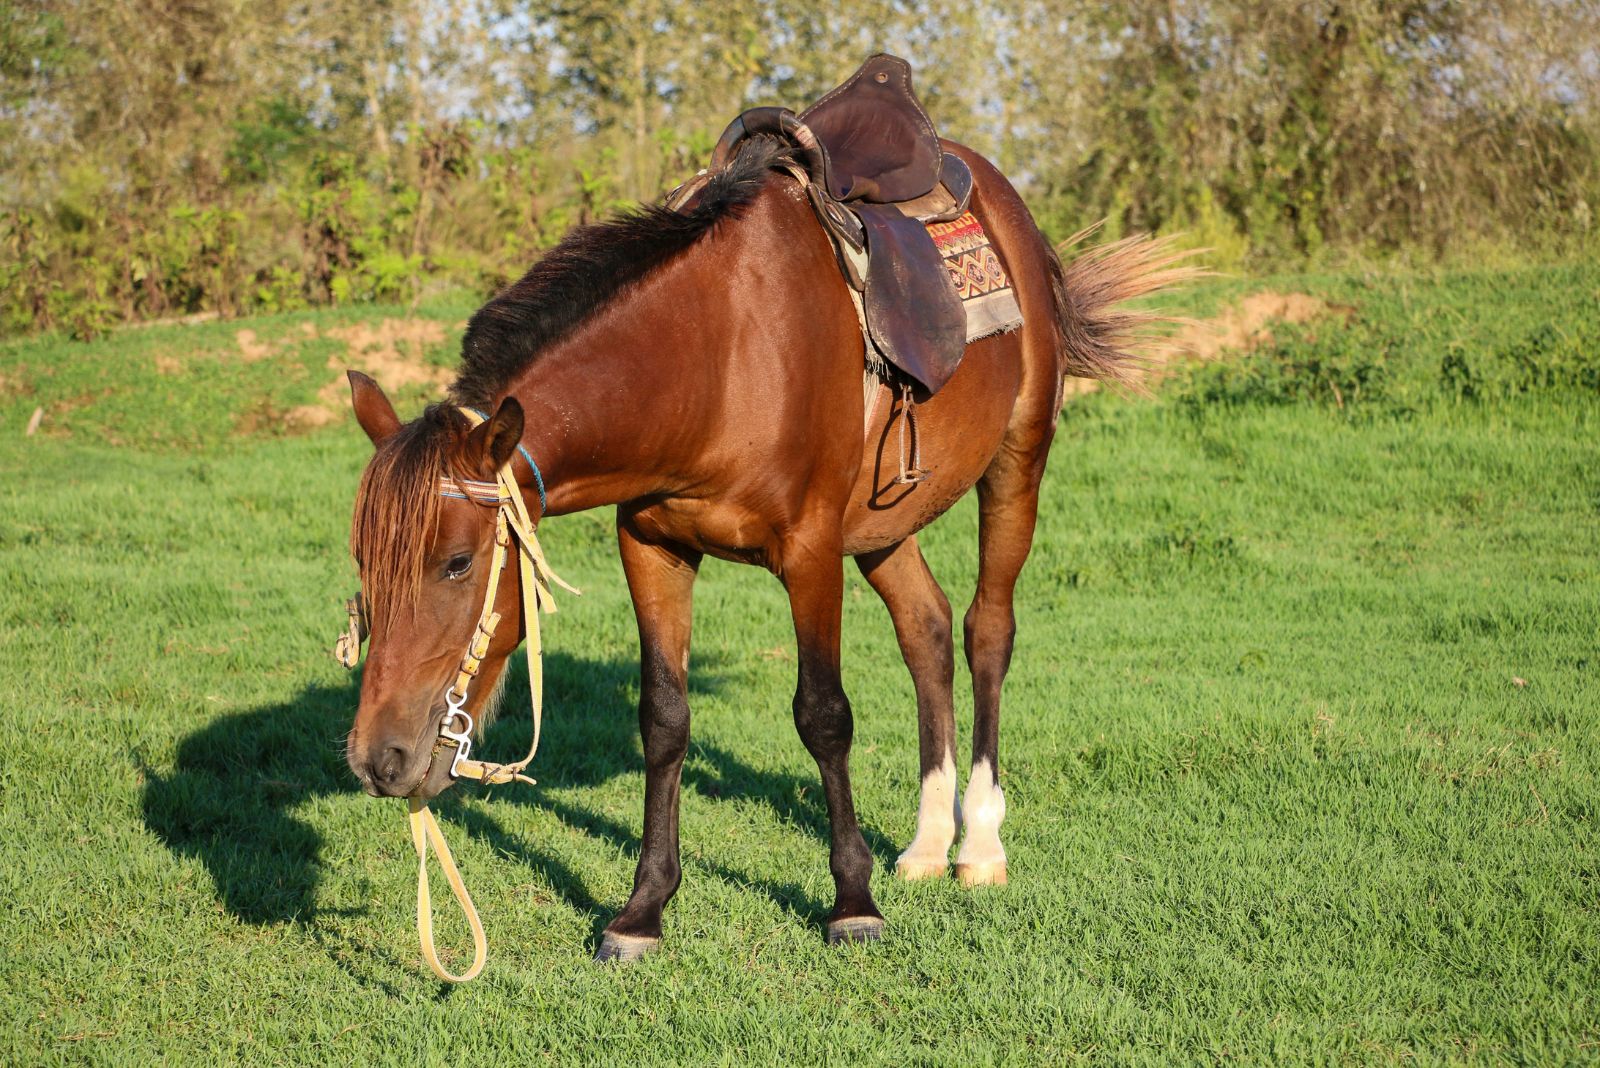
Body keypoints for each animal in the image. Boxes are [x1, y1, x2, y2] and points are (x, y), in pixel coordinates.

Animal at [337, 131, 1190, 959]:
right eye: (364, 566)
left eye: (457, 563)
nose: (379, 762)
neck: (716, 360)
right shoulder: (651, 547)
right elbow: (664, 720)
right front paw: (643, 910)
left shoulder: (809, 553)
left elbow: (824, 715)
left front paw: (853, 904)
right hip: (882, 526)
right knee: (926, 629)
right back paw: (925, 843)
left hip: (1017, 464)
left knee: (987, 632)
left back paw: (977, 843)